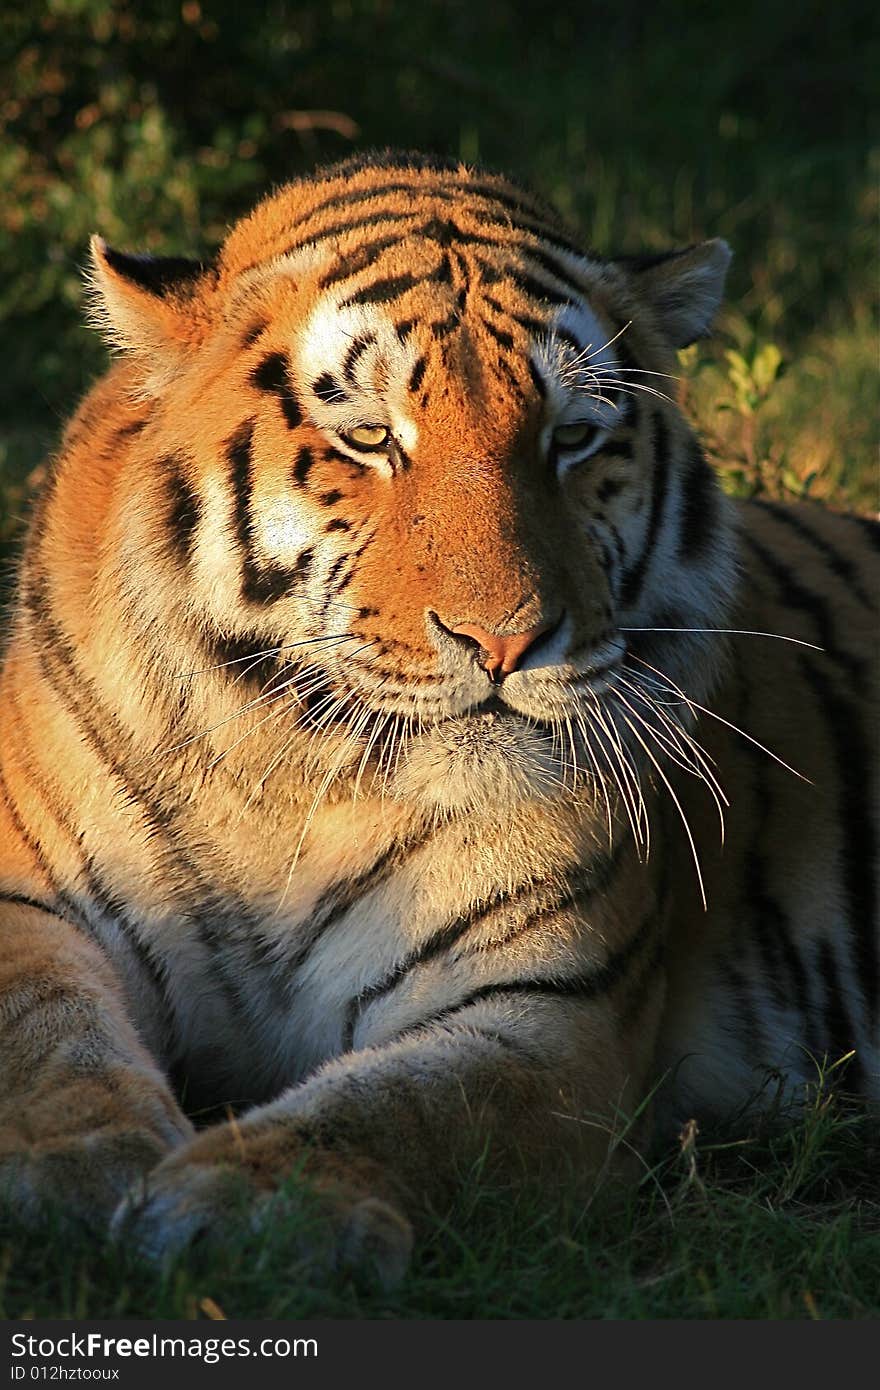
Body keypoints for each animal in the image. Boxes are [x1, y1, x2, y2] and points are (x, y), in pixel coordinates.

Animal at [0, 149, 873, 1278]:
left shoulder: (548, 1015)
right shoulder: (27, 902)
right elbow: (42, 1031)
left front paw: (240, 1201)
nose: (504, 642)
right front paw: (76, 1165)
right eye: (370, 438)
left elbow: (399, 1108)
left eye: (572, 439)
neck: (287, 780)